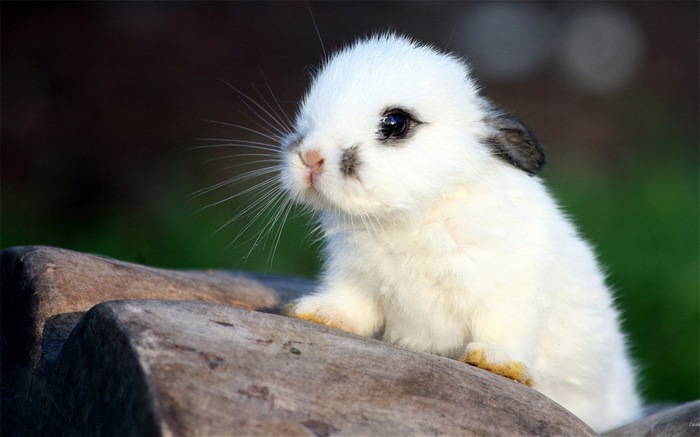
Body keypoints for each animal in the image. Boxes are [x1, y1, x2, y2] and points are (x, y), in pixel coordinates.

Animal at [278, 32, 640, 430]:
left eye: (395, 123)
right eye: (309, 112)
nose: (310, 157)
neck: (414, 214)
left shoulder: (510, 288)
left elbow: (505, 327)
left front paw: (495, 362)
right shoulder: (355, 278)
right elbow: (351, 307)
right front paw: (318, 313)